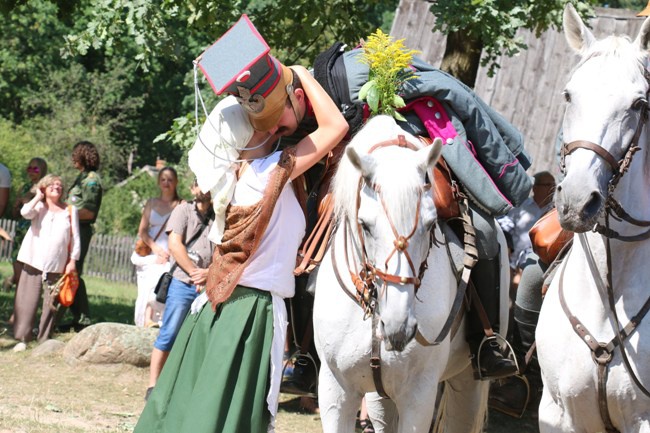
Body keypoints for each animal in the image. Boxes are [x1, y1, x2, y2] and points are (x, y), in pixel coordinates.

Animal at [312, 115, 508, 432]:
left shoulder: (418, 396)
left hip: (467, 382)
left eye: (430, 224)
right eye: (364, 225)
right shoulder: (335, 390)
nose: (398, 327)